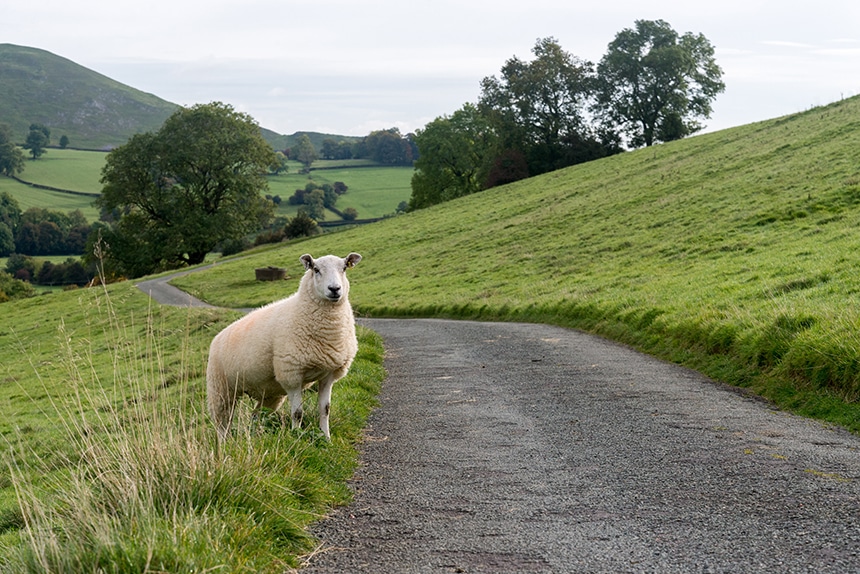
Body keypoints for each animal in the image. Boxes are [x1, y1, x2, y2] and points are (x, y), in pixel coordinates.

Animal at [207, 251, 362, 440]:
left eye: (344, 268)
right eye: (316, 269)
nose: (334, 289)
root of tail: (218, 336)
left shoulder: (328, 374)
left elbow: (325, 410)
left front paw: (326, 438)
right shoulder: (292, 374)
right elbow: (297, 413)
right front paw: (297, 437)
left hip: (269, 393)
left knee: (256, 415)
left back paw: (256, 436)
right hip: (220, 389)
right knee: (222, 422)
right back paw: (225, 443)